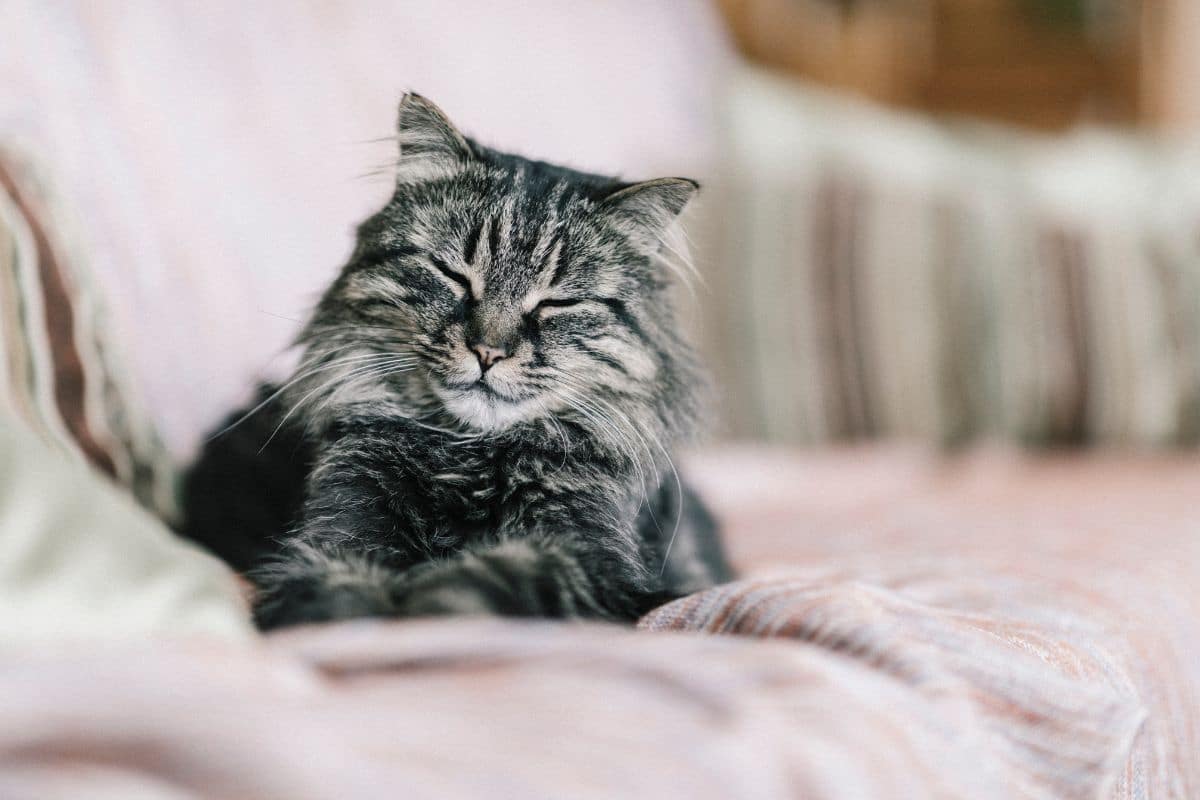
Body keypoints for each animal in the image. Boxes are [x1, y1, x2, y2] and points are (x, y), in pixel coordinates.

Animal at [183, 95, 729, 633]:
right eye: (454, 276)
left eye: (557, 303)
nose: (488, 351)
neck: (467, 459)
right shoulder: (339, 530)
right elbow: (338, 592)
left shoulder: (594, 562)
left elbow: (495, 580)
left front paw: (435, 600)